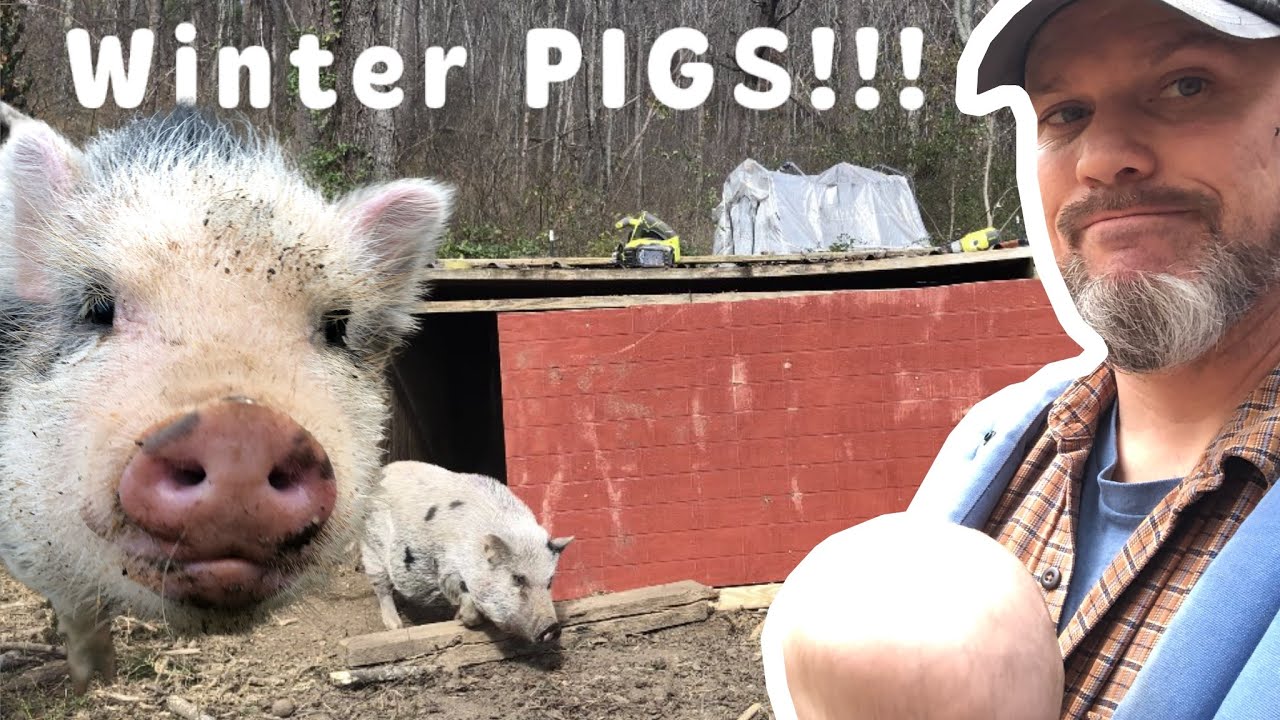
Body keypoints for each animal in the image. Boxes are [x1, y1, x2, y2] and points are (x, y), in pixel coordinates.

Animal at [360, 461, 574, 644]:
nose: (552, 628)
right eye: (518, 578)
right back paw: (395, 626)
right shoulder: (447, 568)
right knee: (381, 587)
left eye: (549, 581)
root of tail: (381, 472)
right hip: (371, 548)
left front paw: (457, 617)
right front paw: (465, 620)